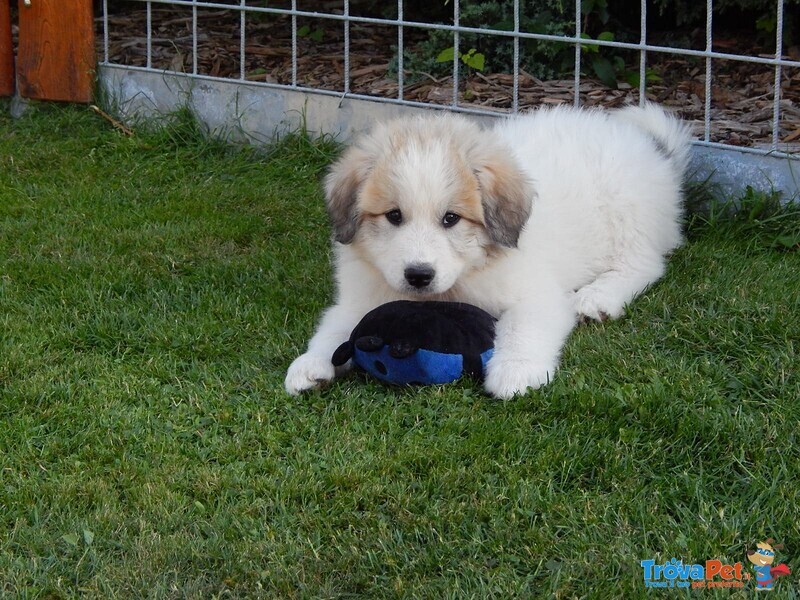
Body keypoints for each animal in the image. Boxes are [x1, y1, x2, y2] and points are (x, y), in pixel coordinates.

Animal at [284, 103, 692, 398]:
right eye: (394, 216)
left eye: (451, 218)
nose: (418, 275)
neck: (459, 281)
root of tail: (648, 145)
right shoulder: (360, 297)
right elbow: (335, 327)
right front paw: (310, 364)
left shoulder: (536, 294)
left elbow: (523, 327)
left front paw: (515, 371)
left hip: (628, 212)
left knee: (645, 265)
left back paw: (598, 298)